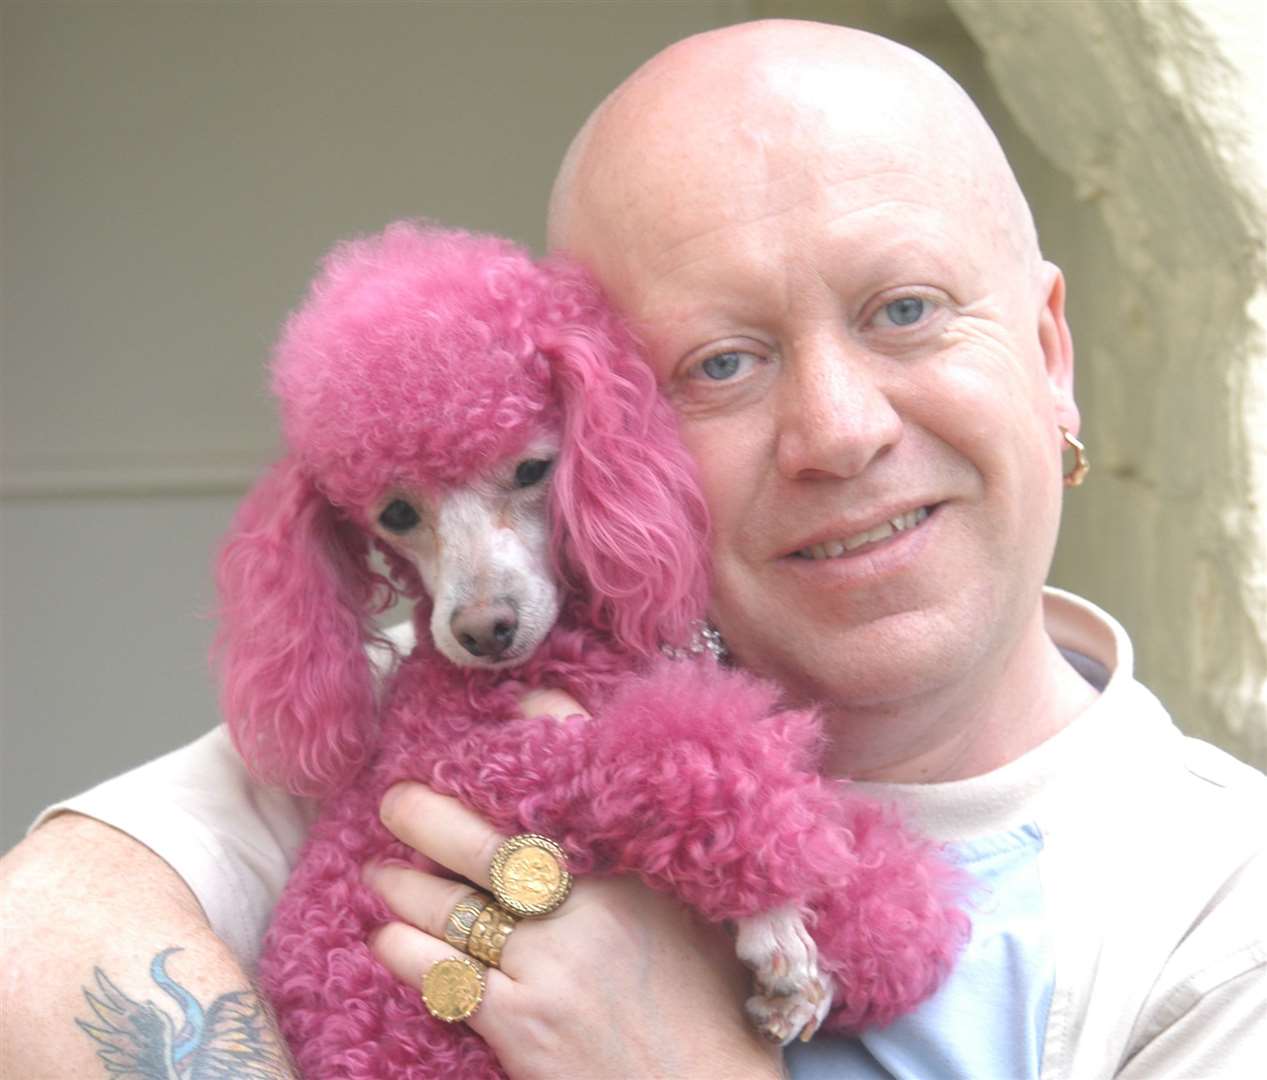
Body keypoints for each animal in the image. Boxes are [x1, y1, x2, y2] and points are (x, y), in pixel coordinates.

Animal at [217, 223, 967, 1074]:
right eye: (396, 514)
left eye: (532, 468)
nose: (483, 629)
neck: (560, 651)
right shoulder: (519, 767)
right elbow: (703, 765)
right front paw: (777, 928)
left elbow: (832, 829)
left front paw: (885, 925)